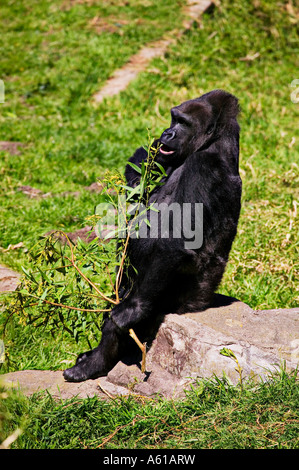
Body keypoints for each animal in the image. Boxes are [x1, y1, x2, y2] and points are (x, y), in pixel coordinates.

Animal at [64, 88, 243, 382]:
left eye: (183, 123)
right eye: (173, 118)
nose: (167, 133)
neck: (216, 141)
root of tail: (203, 302)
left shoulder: (205, 166)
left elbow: (175, 241)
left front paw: (130, 312)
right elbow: (138, 192)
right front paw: (144, 156)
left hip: (185, 300)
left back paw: (98, 360)